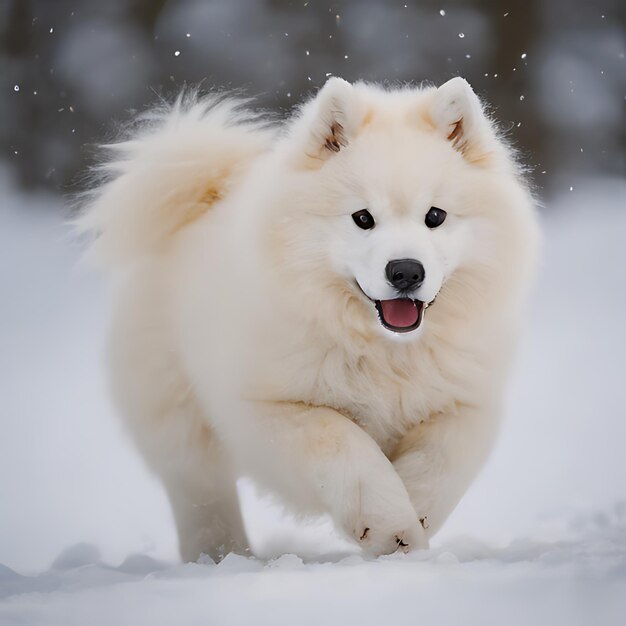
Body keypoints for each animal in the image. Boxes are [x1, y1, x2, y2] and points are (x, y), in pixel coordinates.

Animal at [77, 77, 536, 560]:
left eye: (435, 216)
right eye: (362, 218)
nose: (406, 271)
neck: (385, 353)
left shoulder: (467, 403)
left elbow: (441, 458)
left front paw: (411, 517)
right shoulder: (266, 408)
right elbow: (342, 442)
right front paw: (388, 522)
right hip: (181, 422)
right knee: (203, 496)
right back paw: (220, 557)